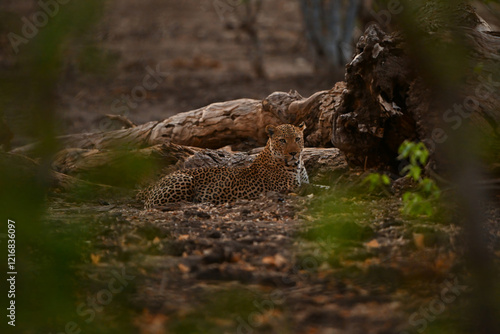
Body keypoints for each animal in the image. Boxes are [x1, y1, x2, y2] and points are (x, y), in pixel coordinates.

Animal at [138, 121, 308, 207]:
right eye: (282, 140)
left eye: (297, 139)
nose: (293, 153)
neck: (298, 165)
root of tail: (154, 184)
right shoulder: (289, 187)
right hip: (184, 180)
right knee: (151, 205)